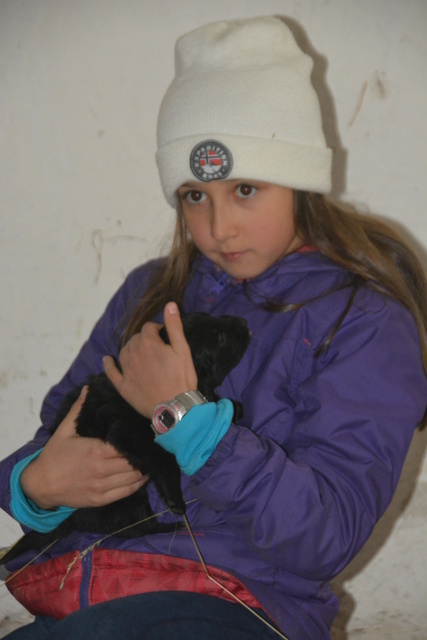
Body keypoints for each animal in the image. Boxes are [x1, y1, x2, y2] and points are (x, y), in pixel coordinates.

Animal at [1, 312, 250, 564]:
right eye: (220, 338)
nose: (244, 323)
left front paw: (233, 408)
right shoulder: (134, 437)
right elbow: (166, 465)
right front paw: (176, 501)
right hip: (126, 501)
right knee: (138, 527)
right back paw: (171, 527)